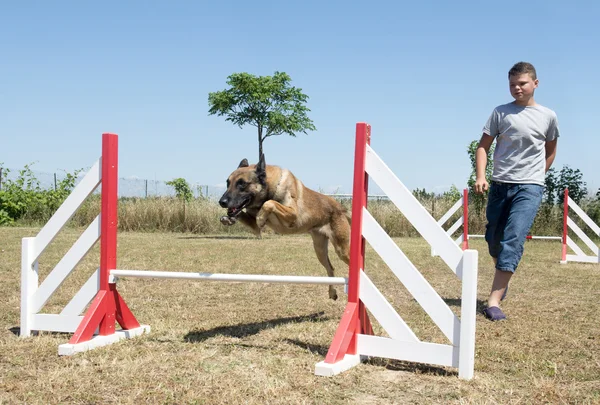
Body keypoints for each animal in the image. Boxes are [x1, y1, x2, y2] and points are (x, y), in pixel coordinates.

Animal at [219, 153, 352, 298]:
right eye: (227, 183)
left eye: (242, 183)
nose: (221, 202)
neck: (269, 189)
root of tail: (341, 208)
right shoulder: (255, 227)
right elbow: (245, 214)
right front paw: (228, 219)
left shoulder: (293, 214)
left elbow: (270, 203)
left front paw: (260, 217)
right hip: (320, 250)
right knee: (330, 268)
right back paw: (332, 292)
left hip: (341, 250)